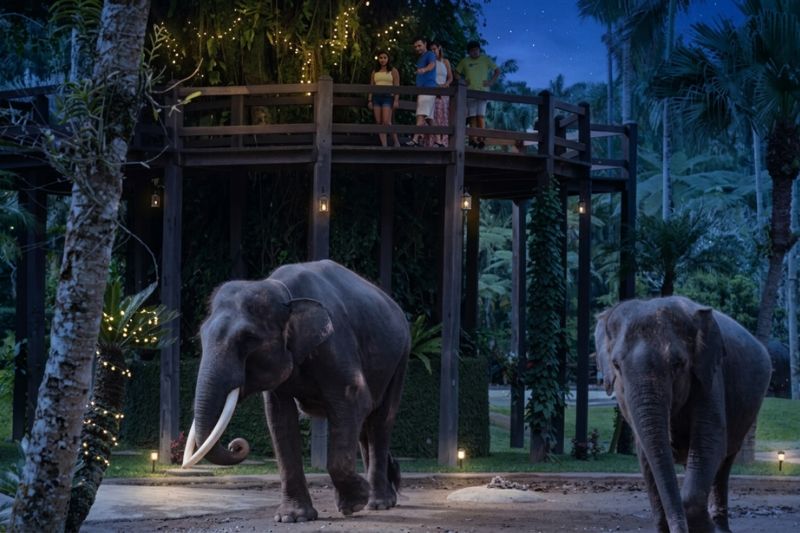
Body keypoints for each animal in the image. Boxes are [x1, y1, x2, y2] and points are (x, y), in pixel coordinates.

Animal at [181, 260, 411, 523]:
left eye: (248, 339)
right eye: (201, 334)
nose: (235, 445)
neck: (281, 291)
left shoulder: (336, 344)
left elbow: (353, 401)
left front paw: (353, 503)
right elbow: (280, 418)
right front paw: (293, 518)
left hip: (401, 357)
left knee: (380, 420)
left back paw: (378, 503)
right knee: (366, 426)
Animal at [595, 296, 771, 533]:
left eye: (678, 364)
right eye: (616, 365)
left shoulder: (710, 377)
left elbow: (709, 442)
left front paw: (705, 527)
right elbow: (646, 457)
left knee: (724, 461)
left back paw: (720, 527)